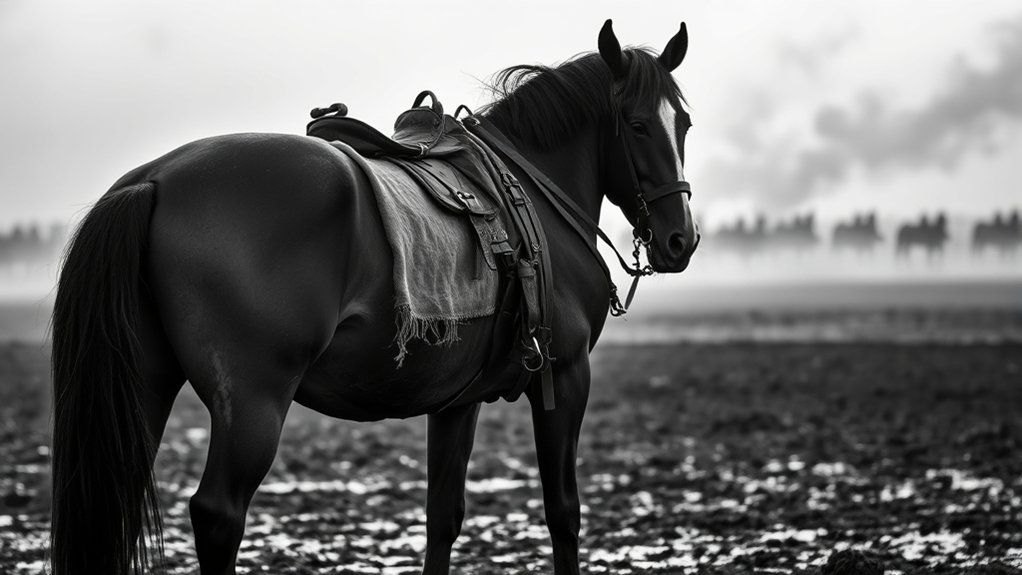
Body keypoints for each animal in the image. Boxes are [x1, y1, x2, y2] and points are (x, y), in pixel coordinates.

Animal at [49, 20, 698, 575]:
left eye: (684, 124)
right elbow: (564, 514)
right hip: (254, 401)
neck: (530, 189)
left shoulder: (457, 401)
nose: (680, 239)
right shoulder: (565, 375)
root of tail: (155, 179)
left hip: (146, 382)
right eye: (637, 124)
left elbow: (443, 518)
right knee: (218, 516)